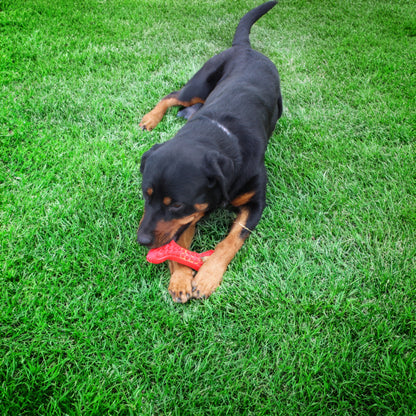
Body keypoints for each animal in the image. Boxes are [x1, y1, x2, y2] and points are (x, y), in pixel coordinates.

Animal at [138, 1, 282, 304]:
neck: (217, 136)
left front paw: (206, 276)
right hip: (200, 83)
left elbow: (231, 240)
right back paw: (151, 118)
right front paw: (180, 279)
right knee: (173, 95)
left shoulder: (256, 203)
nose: (141, 240)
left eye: (176, 204)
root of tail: (245, 47)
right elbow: (179, 241)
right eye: (146, 195)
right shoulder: (187, 218)